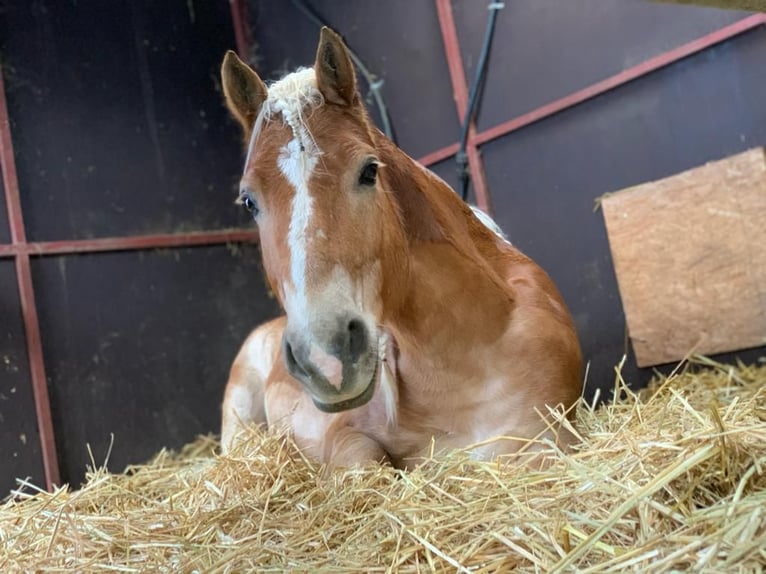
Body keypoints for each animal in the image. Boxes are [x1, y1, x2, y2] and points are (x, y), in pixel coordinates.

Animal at [216, 24, 584, 470]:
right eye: (249, 202)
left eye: (369, 171)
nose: (326, 358)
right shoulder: (341, 436)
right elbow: (367, 460)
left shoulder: (549, 434)